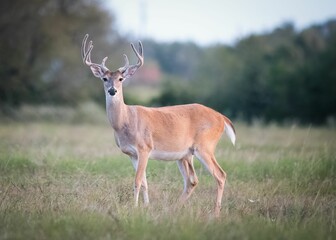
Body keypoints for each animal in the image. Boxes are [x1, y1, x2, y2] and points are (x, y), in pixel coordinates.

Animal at [80, 33, 236, 216]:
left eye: (121, 79)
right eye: (104, 78)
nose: (112, 90)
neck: (125, 121)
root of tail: (221, 117)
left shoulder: (144, 148)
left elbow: (137, 181)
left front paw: (134, 207)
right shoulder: (132, 154)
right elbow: (144, 182)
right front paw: (146, 207)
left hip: (205, 146)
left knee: (220, 175)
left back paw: (215, 213)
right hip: (185, 154)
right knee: (192, 180)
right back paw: (174, 208)